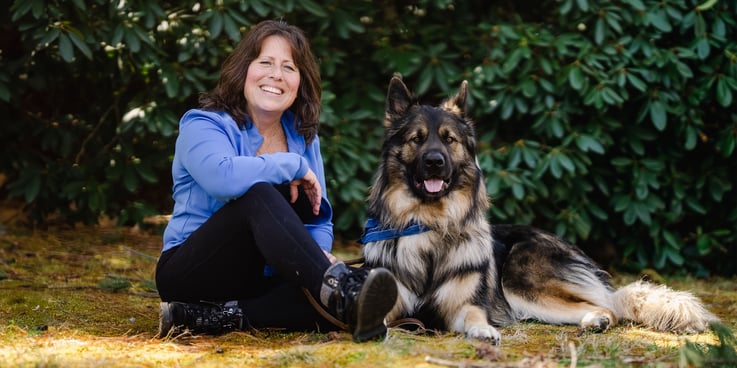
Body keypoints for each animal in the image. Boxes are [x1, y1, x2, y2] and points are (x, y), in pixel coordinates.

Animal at [362, 75, 720, 342]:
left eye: (449, 140)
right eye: (417, 139)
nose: (435, 162)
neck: (429, 224)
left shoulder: (465, 304)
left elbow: (475, 314)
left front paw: (483, 330)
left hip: (521, 279)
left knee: (611, 308)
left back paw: (599, 319)